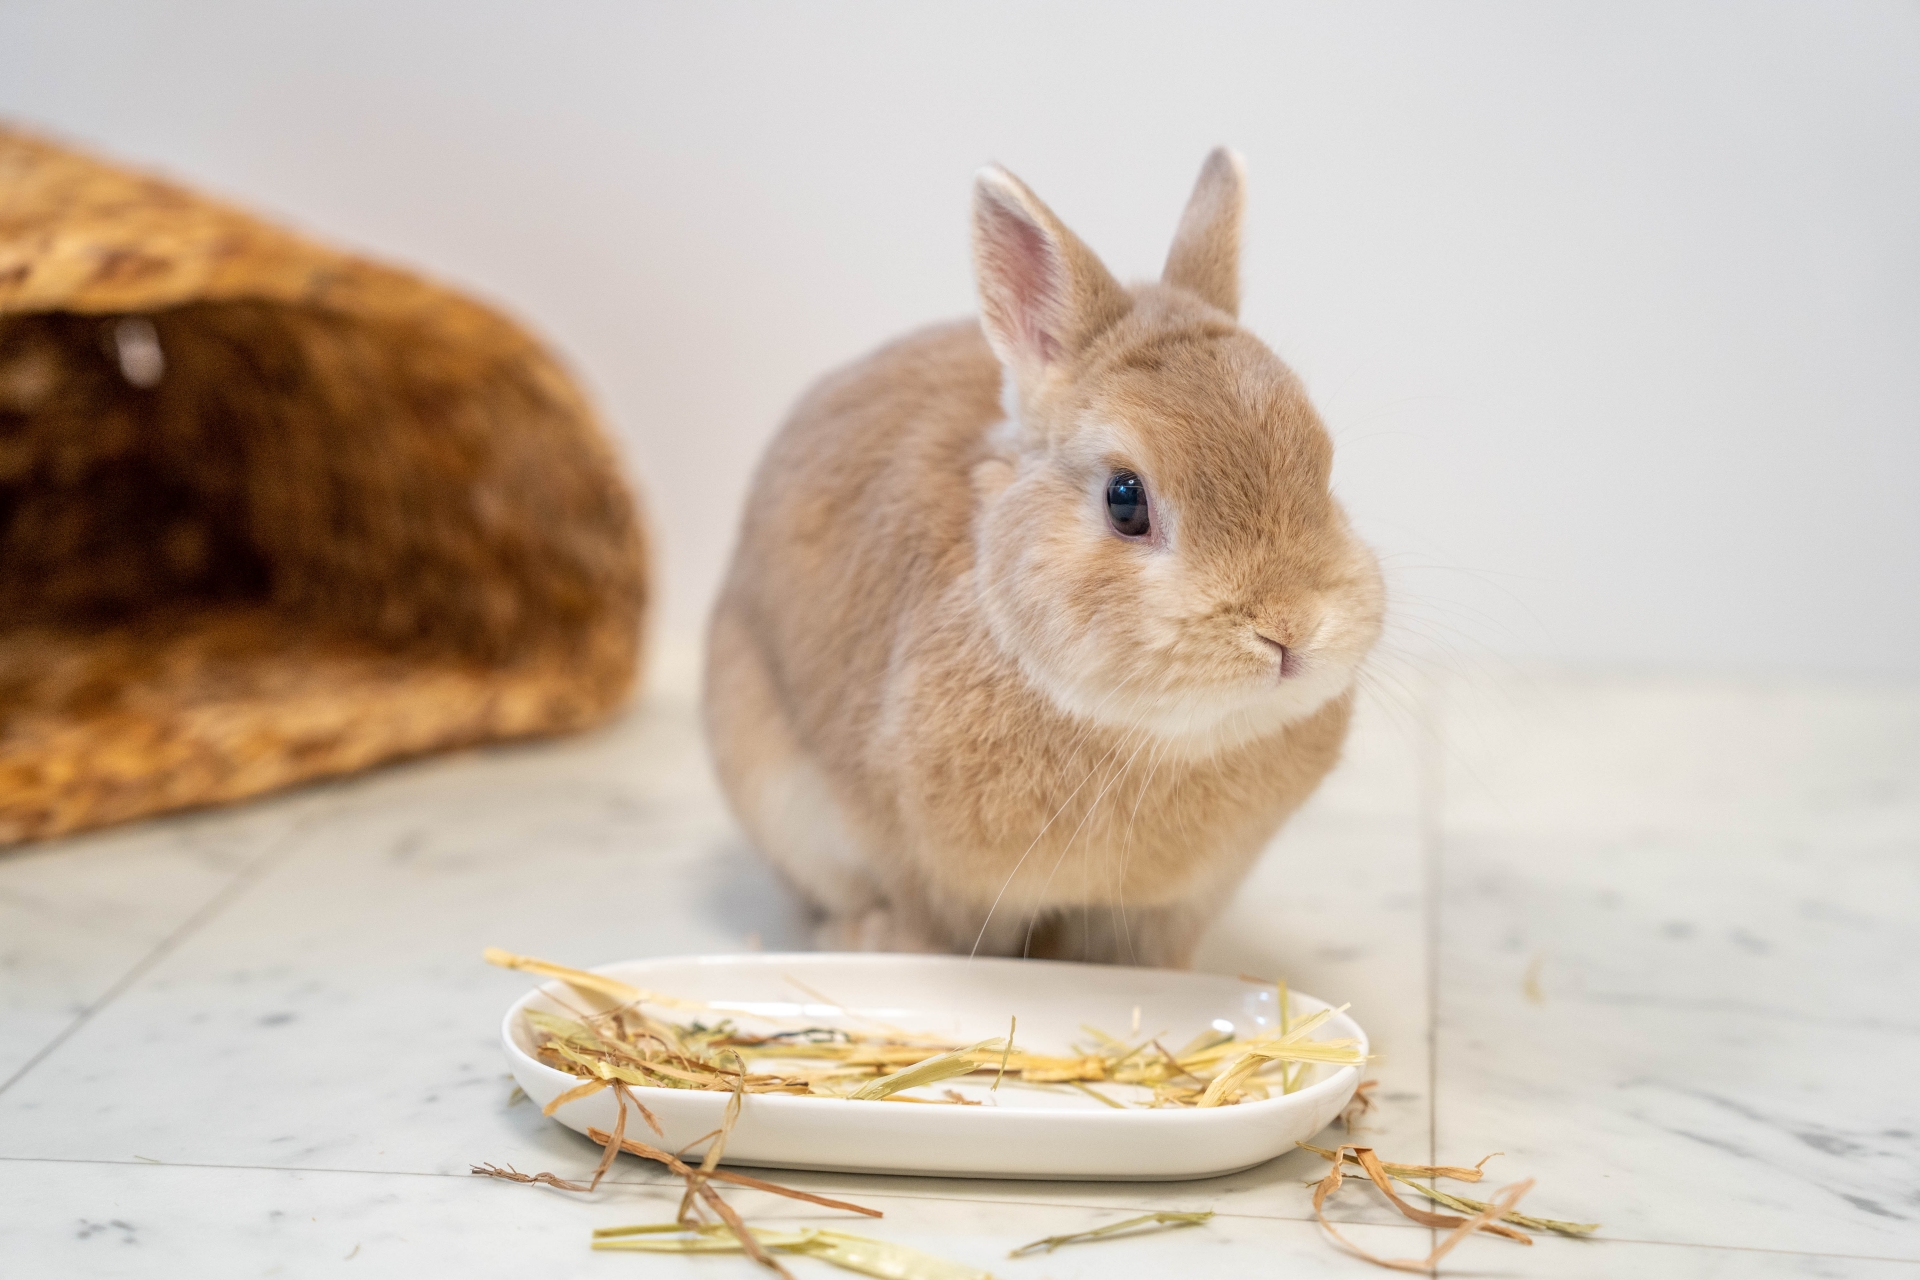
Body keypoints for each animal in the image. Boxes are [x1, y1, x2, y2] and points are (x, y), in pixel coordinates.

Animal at [706, 150, 1382, 967]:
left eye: (1324, 469)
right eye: (1126, 500)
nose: (1289, 628)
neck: (1157, 741)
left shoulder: (1176, 905)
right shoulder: (923, 870)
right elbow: (927, 923)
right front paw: (889, 946)